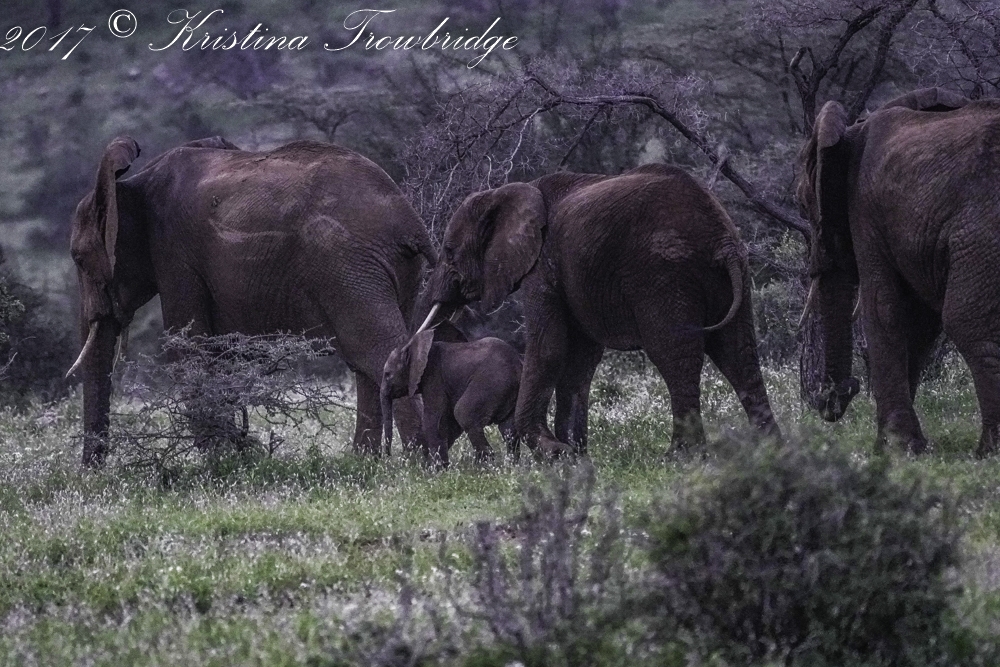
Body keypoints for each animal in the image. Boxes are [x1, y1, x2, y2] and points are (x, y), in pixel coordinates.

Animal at [68, 135, 435, 466]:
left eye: (79, 260)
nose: (93, 472)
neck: (131, 184)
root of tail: (411, 223)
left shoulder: (174, 253)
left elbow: (188, 350)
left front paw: (222, 461)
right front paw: (236, 454)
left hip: (347, 262)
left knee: (373, 350)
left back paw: (422, 463)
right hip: (390, 270)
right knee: (366, 358)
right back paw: (363, 464)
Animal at [380, 329, 522, 466]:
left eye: (387, 374)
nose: (387, 456)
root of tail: (518, 365)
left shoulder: (434, 378)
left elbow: (433, 420)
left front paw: (435, 469)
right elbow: (449, 424)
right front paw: (433, 465)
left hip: (491, 382)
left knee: (464, 413)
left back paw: (482, 467)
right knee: (508, 428)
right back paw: (511, 467)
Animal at [415, 163, 781, 454]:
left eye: (449, 251)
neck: (504, 192)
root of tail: (722, 239)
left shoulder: (543, 265)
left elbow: (549, 347)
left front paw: (552, 452)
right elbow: (580, 359)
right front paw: (574, 454)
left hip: (664, 274)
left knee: (674, 354)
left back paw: (681, 457)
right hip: (729, 274)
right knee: (739, 352)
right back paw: (772, 449)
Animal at [797, 86, 1000, 457]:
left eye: (803, 205)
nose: (834, 395)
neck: (852, 129)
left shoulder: (864, 210)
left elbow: (885, 310)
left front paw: (894, 450)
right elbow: (918, 324)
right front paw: (901, 447)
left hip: (982, 233)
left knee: (968, 324)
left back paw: (987, 453)